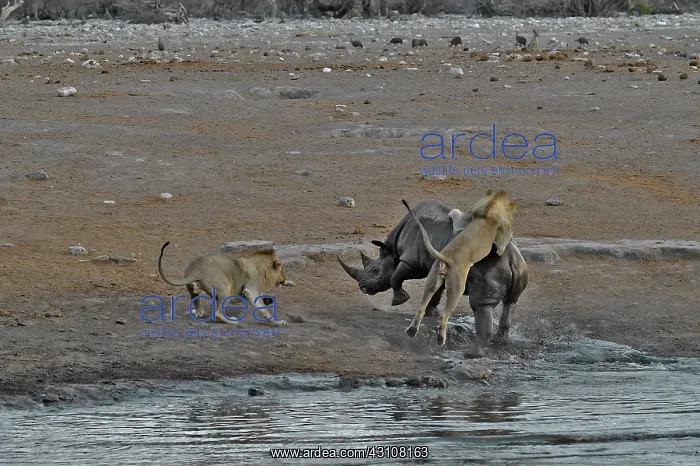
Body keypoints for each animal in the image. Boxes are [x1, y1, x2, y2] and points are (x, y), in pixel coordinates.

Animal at [337, 199, 528, 357]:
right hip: (519, 267)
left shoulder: (410, 260)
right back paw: (500, 343)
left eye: (375, 270)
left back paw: (472, 354)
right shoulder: (436, 266)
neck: (391, 249)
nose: (363, 287)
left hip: (489, 270)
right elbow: (438, 291)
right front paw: (432, 312)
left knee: (481, 305)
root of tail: (512, 261)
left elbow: (396, 277)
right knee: (510, 302)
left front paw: (399, 300)